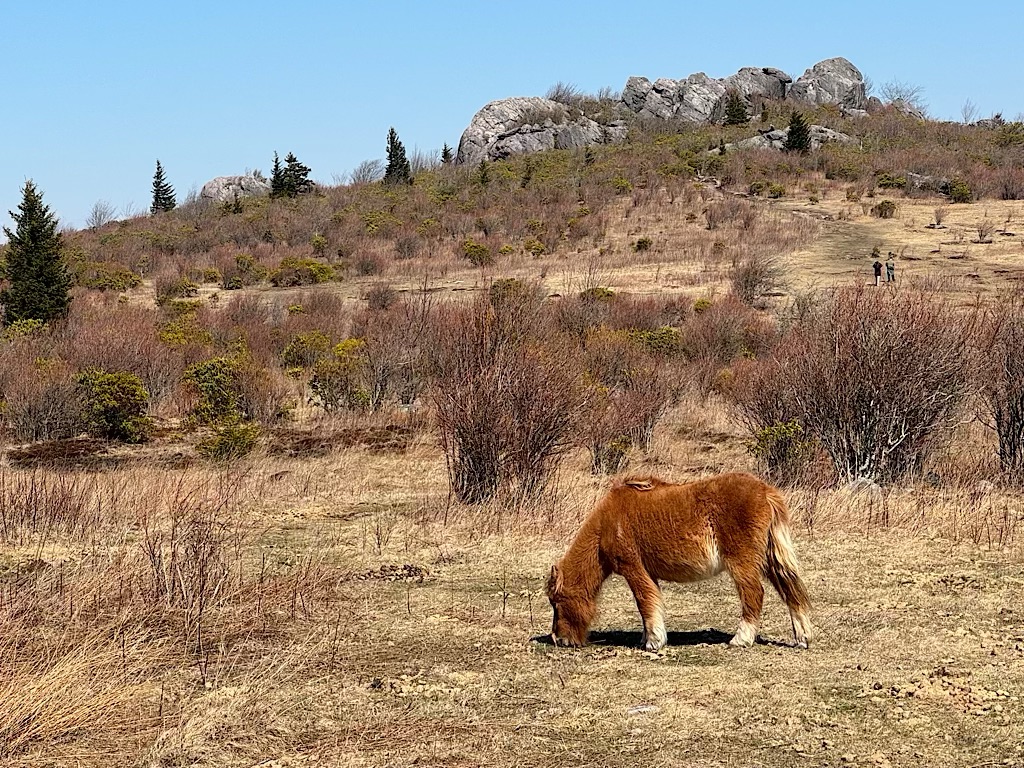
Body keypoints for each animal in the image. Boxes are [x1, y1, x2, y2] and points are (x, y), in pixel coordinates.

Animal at [548, 473, 811, 651]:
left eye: (556, 602)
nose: (558, 639)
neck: (608, 523)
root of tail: (765, 491)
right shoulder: (649, 573)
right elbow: (651, 602)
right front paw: (648, 637)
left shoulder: (633, 569)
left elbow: (644, 602)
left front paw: (654, 642)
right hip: (770, 561)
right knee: (791, 592)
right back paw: (802, 638)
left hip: (743, 564)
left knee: (754, 594)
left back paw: (741, 639)